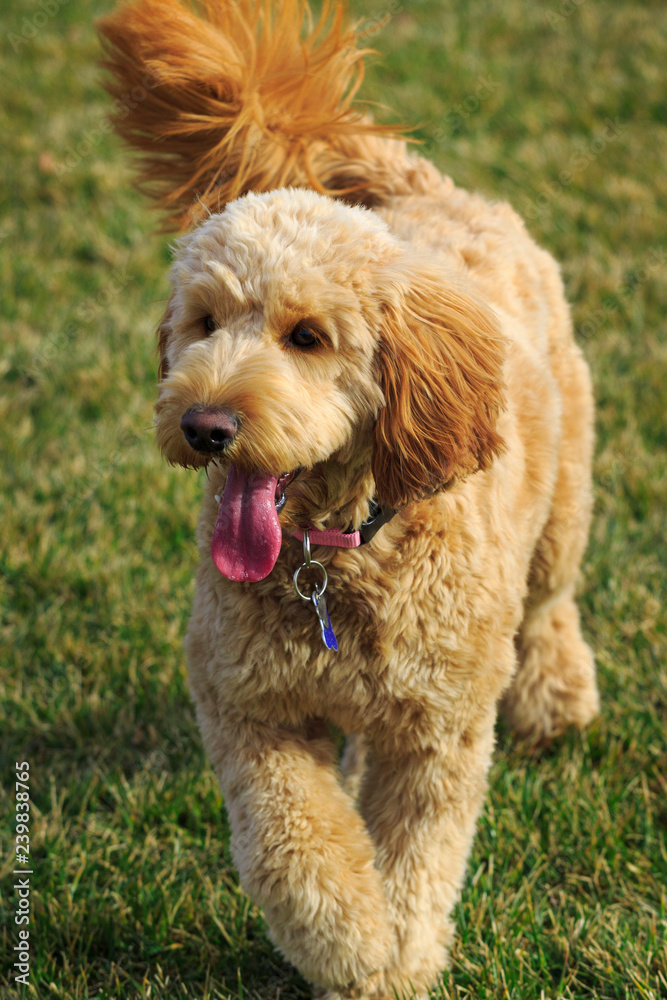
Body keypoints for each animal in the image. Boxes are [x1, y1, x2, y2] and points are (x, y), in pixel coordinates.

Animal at [98, 3, 600, 996]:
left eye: (306, 336)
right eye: (202, 323)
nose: (205, 425)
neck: (336, 558)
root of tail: (425, 189)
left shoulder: (438, 732)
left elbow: (415, 855)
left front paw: (397, 957)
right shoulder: (251, 710)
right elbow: (297, 847)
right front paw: (354, 949)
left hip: (564, 492)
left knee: (550, 597)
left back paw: (557, 698)